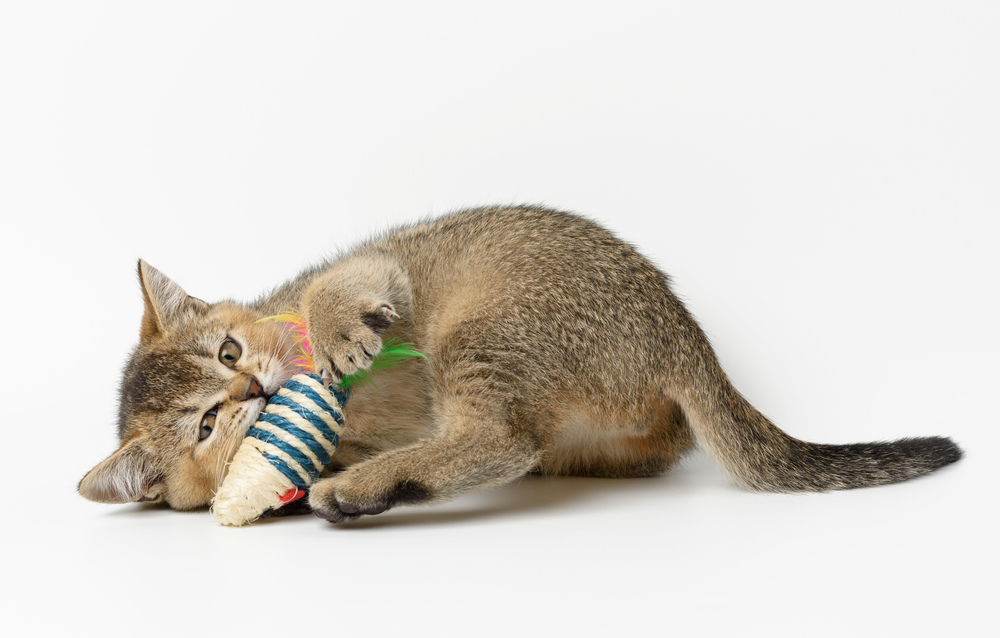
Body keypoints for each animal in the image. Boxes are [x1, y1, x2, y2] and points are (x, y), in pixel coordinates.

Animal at [76, 208, 960, 524]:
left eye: (227, 353)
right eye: (206, 425)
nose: (255, 387)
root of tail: (683, 333)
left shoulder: (380, 267)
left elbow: (340, 288)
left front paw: (335, 335)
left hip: (478, 328)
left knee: (500, 441)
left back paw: (363, 486)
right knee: (510, 445)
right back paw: (368, 485)